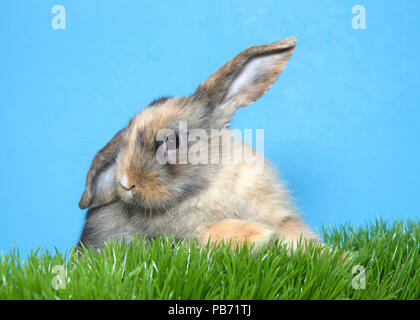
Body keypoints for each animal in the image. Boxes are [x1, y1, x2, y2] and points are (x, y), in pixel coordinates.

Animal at [78, 37, 322, 252]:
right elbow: (214, 231)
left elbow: (299, 236)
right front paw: (260, 235)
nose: (126, 182)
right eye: (123, 144)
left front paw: (327, 255)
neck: (209, 186)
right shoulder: (183, 235)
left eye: (173, 140)